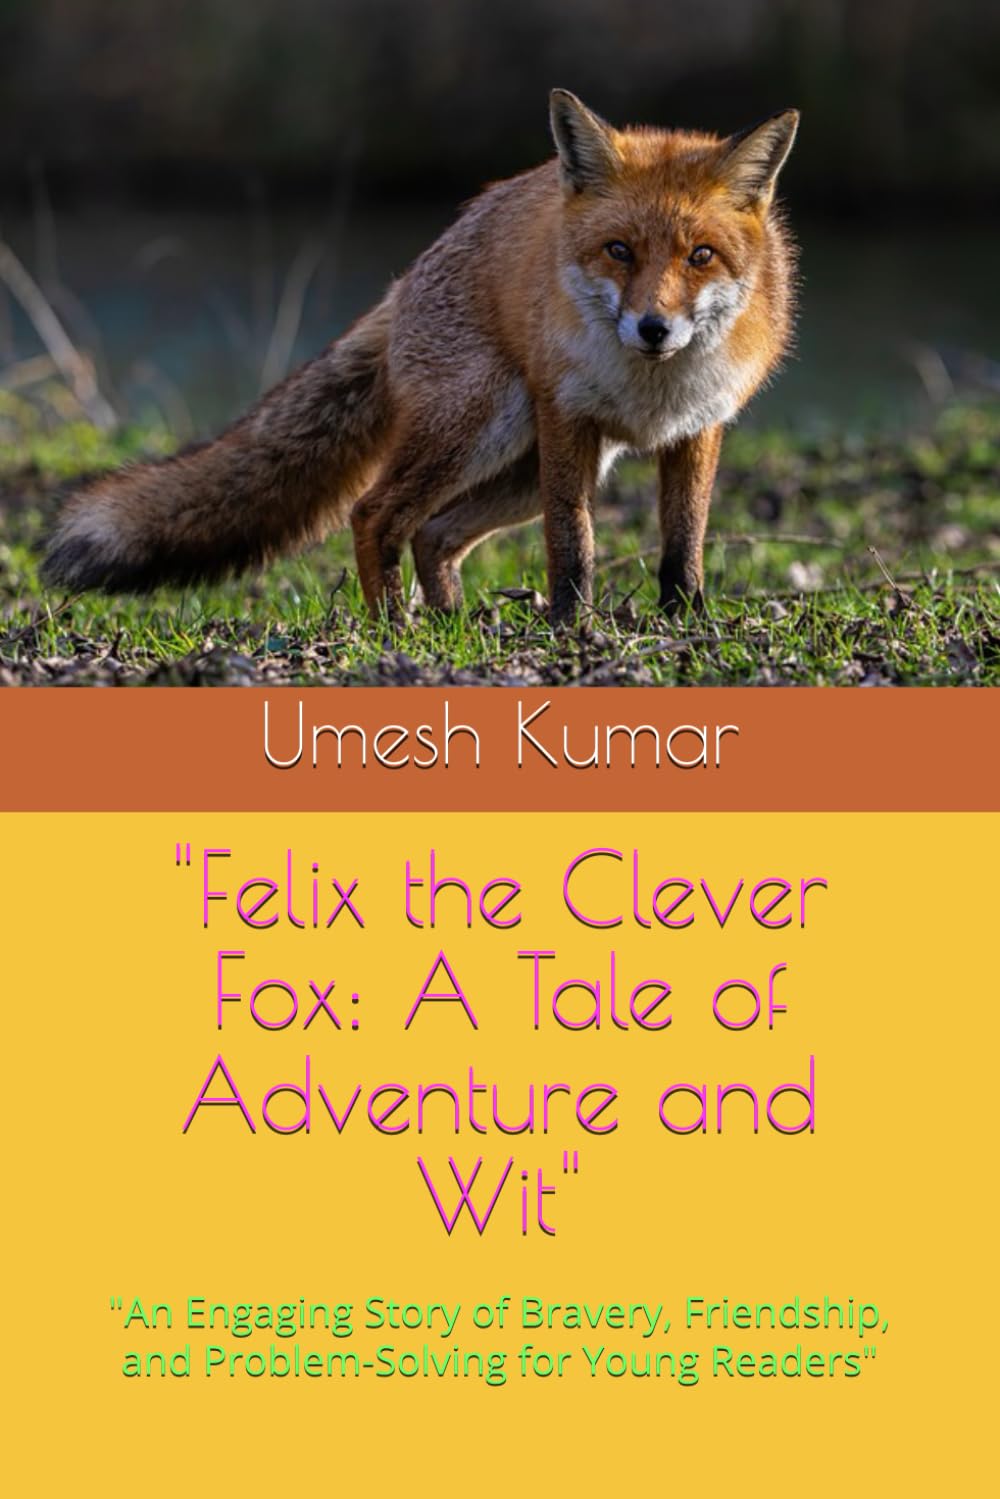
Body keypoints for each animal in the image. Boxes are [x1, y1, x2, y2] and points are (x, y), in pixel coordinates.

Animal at [42, 91, 799, 625]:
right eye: (619, 250)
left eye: (700, 256)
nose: (653, 328)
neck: (651, 390)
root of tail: (405, 279)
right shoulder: (567, 418)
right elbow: (572, 543)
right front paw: (571, 625)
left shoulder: (698, 428)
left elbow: (683, 541)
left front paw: (685, 619)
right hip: (484, 431)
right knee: (375, 514)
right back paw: (393, 627)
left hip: (522, 468)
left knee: (434, 532)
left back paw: (452, 621)